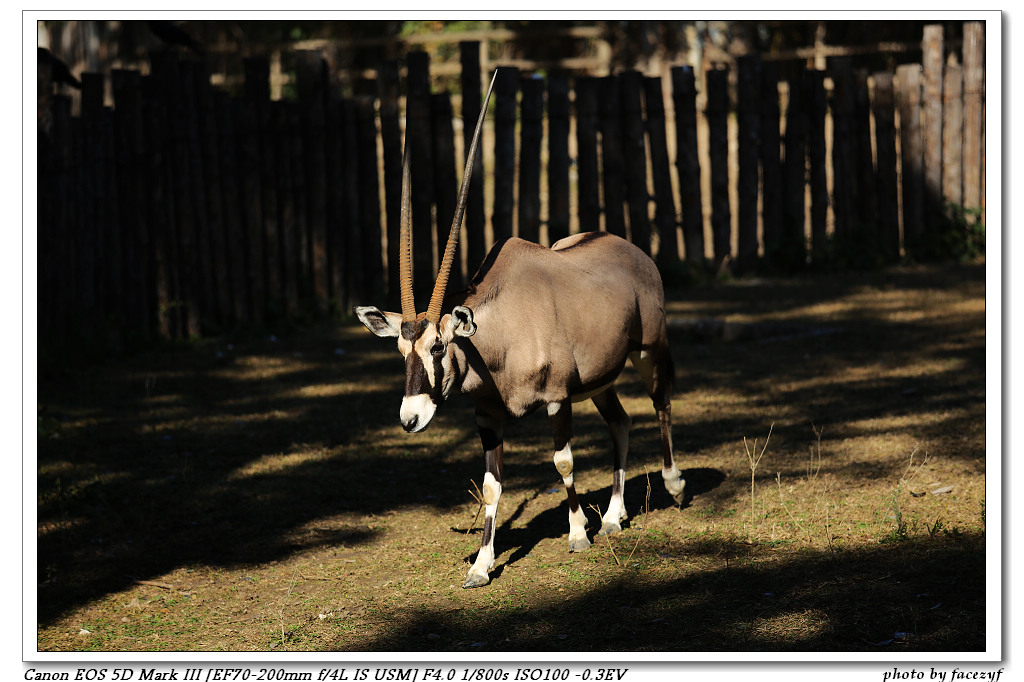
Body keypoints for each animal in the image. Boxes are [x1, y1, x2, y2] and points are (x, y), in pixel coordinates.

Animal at [356, 71, 684, 585]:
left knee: (661, 402)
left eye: (439, 347)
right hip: (600, 381)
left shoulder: (556, 401)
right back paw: (613, 517)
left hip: (650, 350)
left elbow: (563, 461)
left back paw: (673, 484)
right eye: (401, 351)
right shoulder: (488, 416)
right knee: (621, 421)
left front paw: (577, 535)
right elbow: (492, 486)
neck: (499, 340)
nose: (410, 419)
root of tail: (633, 251)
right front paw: (482, 565)